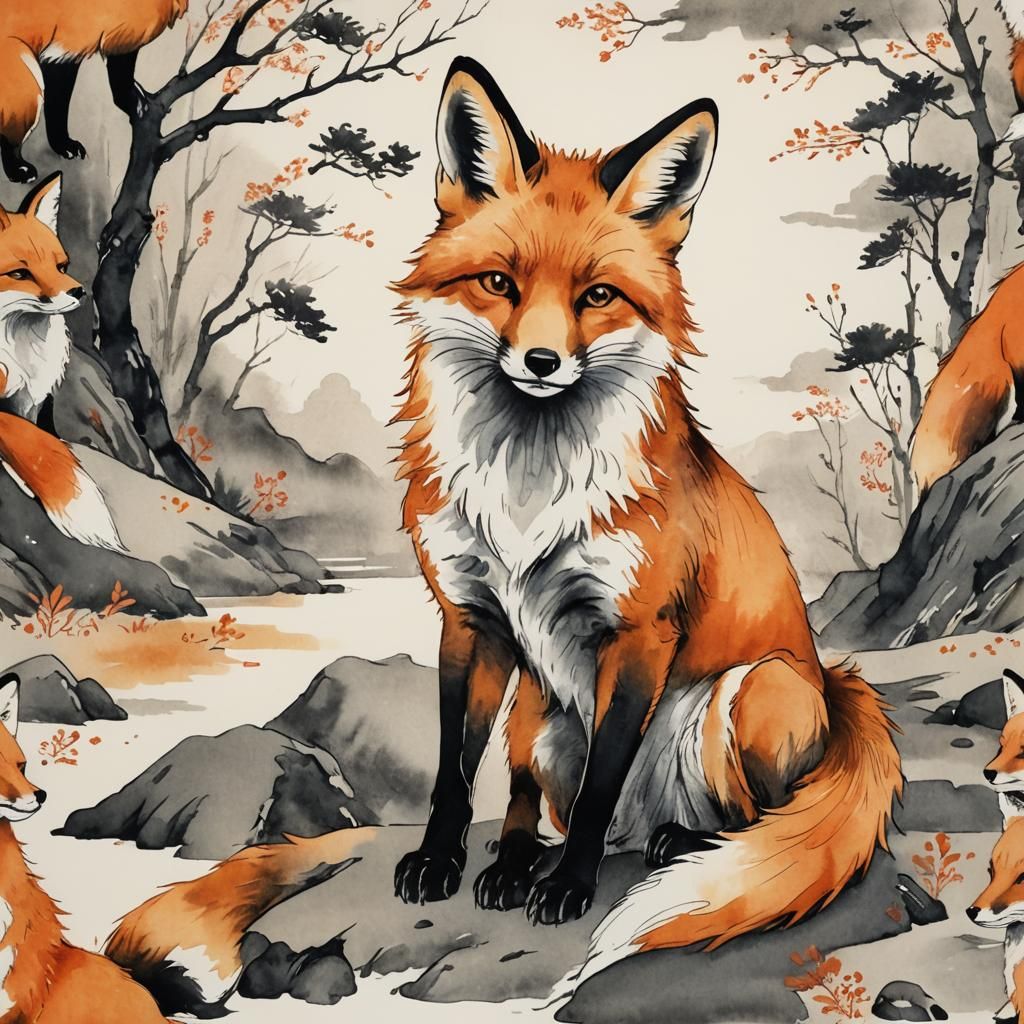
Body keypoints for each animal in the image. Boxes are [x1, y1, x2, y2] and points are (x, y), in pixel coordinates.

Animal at [0, 0, 189, 183]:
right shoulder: (64, 48)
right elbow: (59, 109)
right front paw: (63, 144)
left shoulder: (120, 41)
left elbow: (121, 84)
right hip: (27, 86)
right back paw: (18, 170)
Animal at [0, 172, 122, 550]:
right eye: (19, 274)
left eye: (60, 265)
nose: (79, 291)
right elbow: (24, 440)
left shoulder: (27, 400)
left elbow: (32, 440)